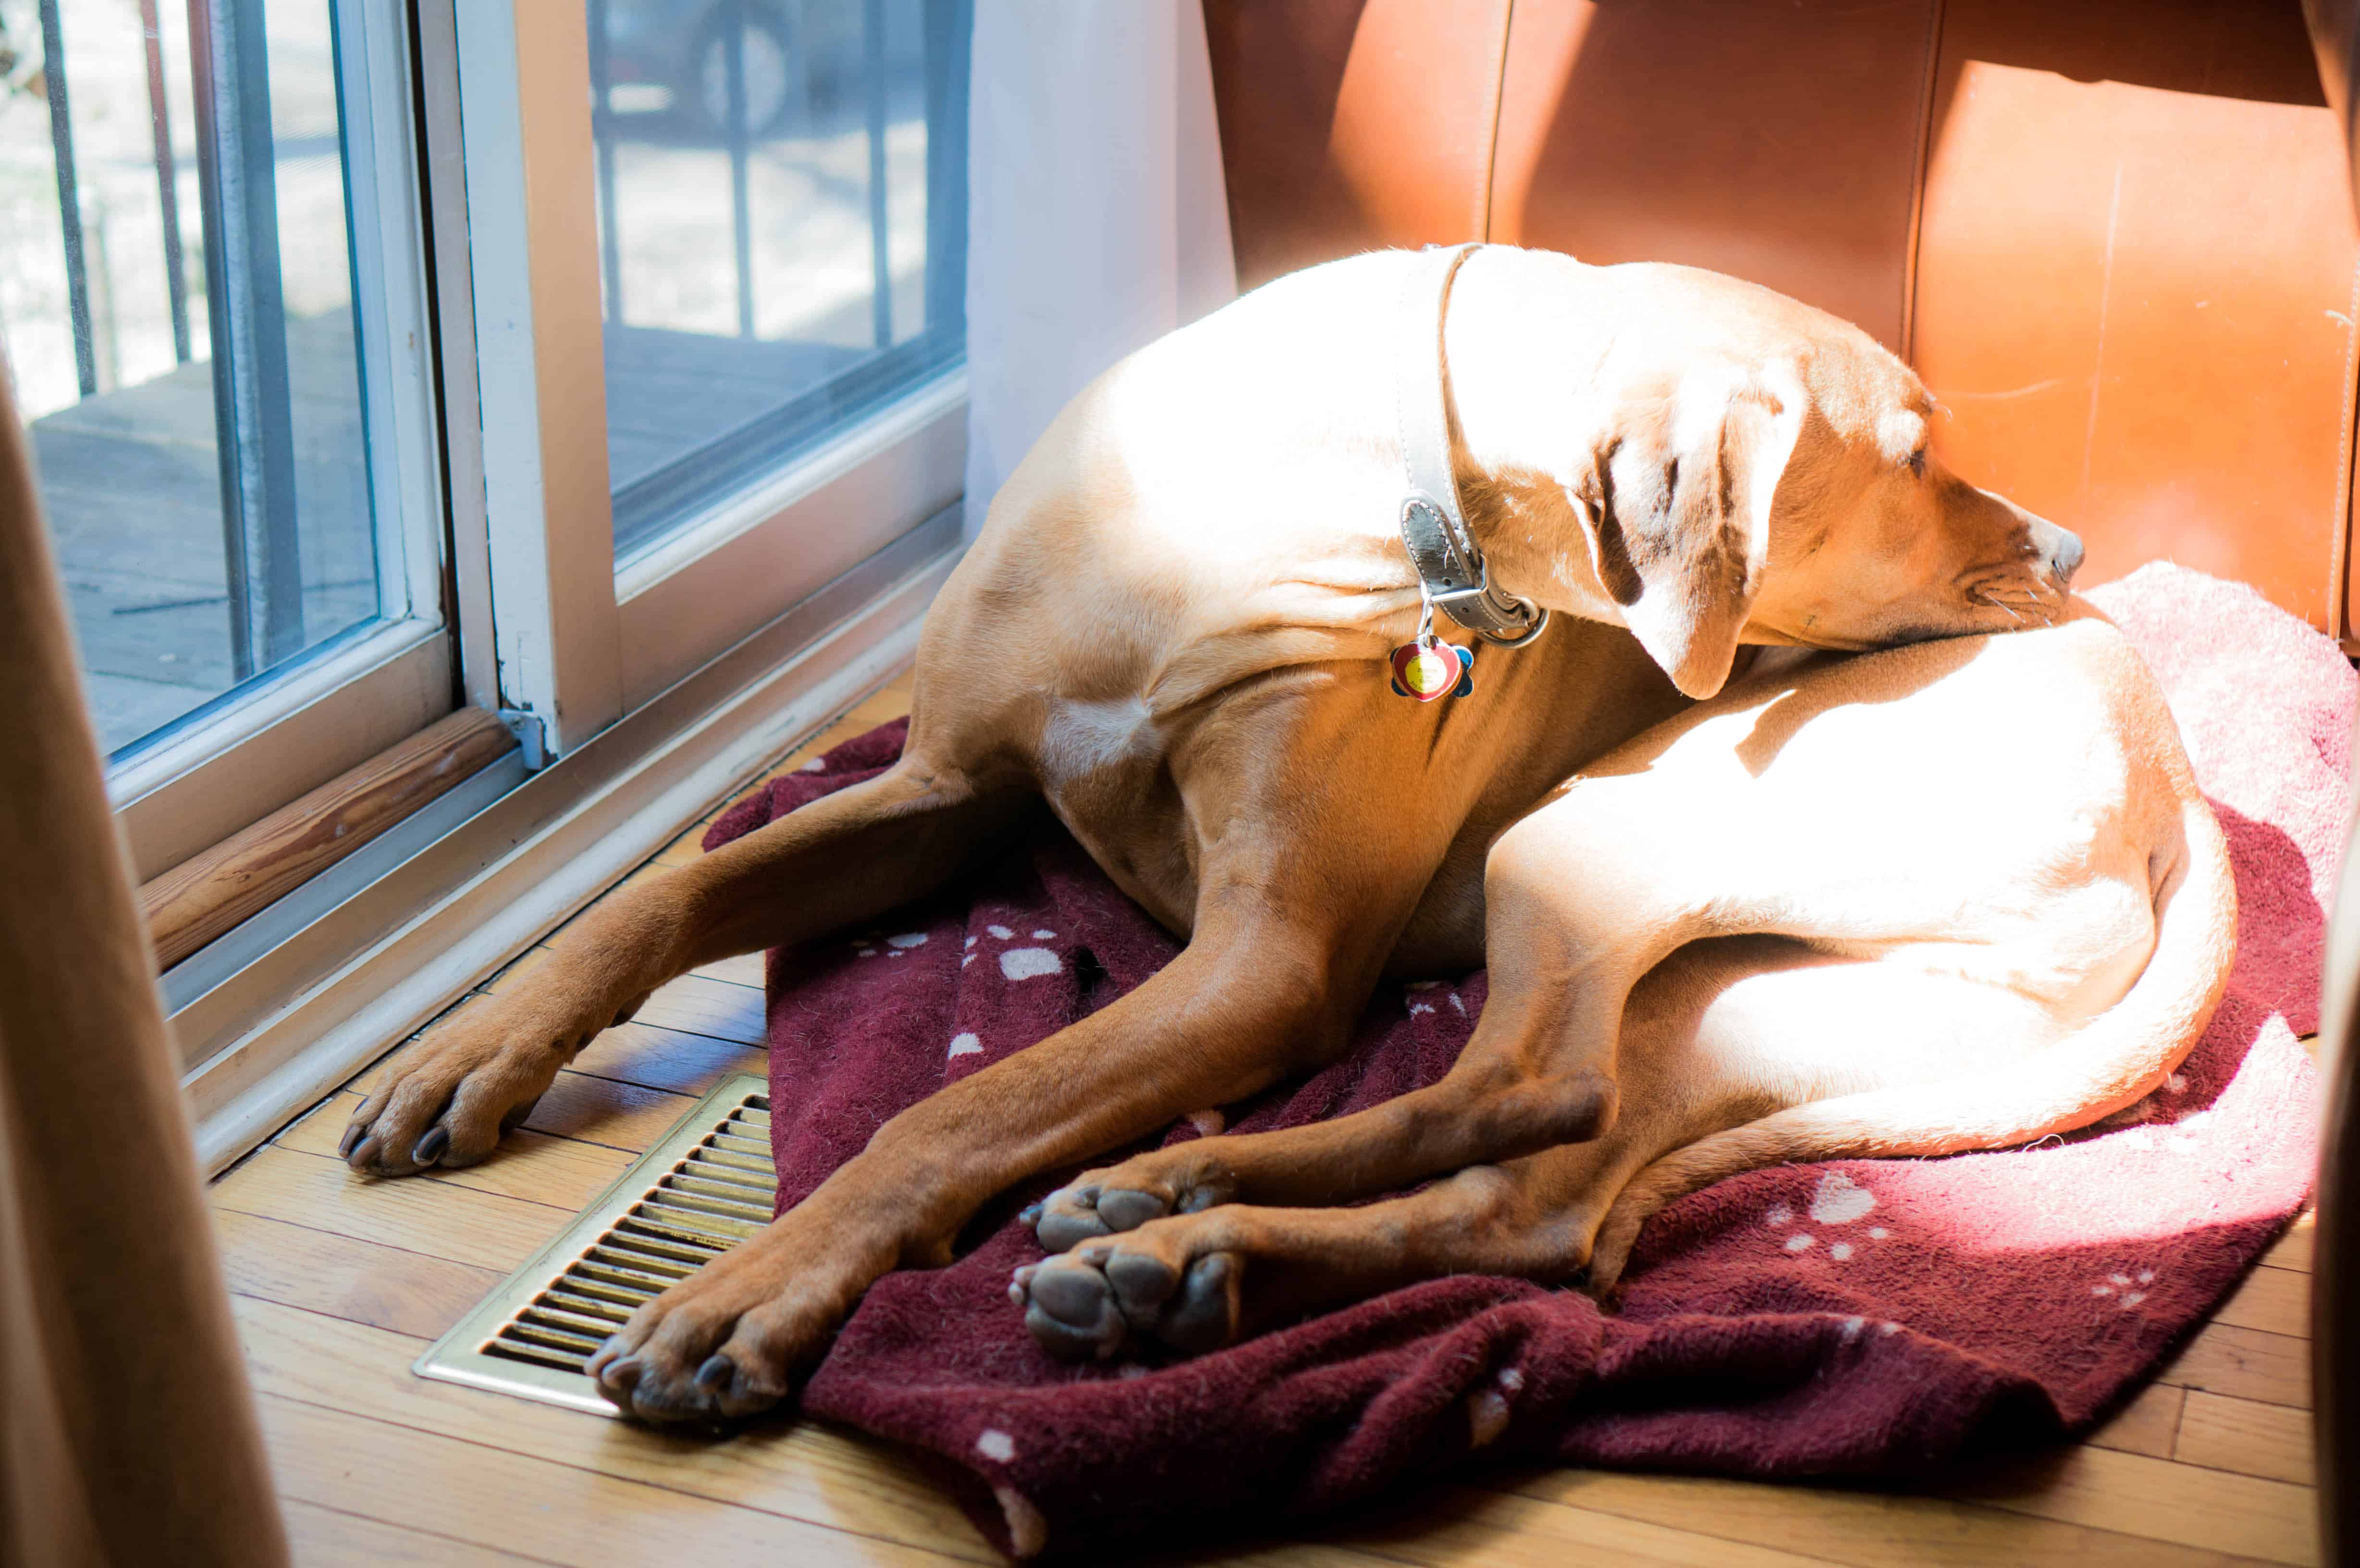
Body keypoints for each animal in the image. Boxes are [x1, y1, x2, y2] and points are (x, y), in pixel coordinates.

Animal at [342, 245, 2133, 1417]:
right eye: (1914, 452)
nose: (2066, 546)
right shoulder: (937, 798)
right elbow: (663, 898)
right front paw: (472, 1050)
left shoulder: (1260, 961)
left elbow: (948, 1109)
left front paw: (750, 1291)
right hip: (1735, 1001)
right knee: (1536, 1186)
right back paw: (1168, 1243)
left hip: (1617, 832)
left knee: (1519, 1093)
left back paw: (1158, 1218)